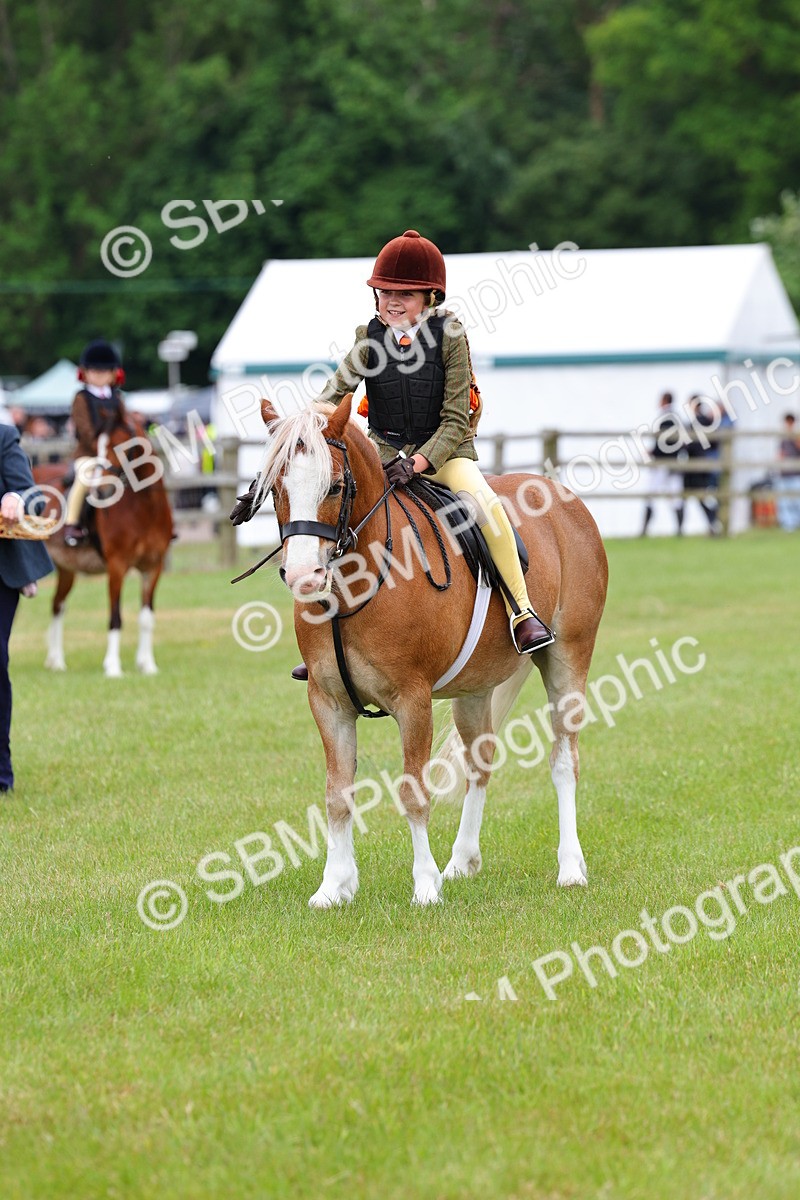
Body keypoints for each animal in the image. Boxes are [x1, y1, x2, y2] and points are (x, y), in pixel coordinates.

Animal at [33, 413, 174, 677]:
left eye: (121, 444)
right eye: (97, 446)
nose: (101, 490)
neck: (144, 507)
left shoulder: (153, 567)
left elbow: (146, 618)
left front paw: (147, 664)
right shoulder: (116, 566)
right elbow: (115, 616)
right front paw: (113, 667)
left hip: (66, 568)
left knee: (57, 605)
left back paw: (56, 661)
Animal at [247, 395, 608, 907]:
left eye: (334, 487)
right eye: (276, 487)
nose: (302, 577)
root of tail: (563, 498)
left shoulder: (413, 701)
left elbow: (413, 792)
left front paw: (424, 885)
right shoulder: (328, 702)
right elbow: (337, 794)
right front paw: (334, 885)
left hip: (568, 660)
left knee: (563, 759)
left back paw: (570, 867)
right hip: (474, 689)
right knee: (481, 762)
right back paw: (462, 861)